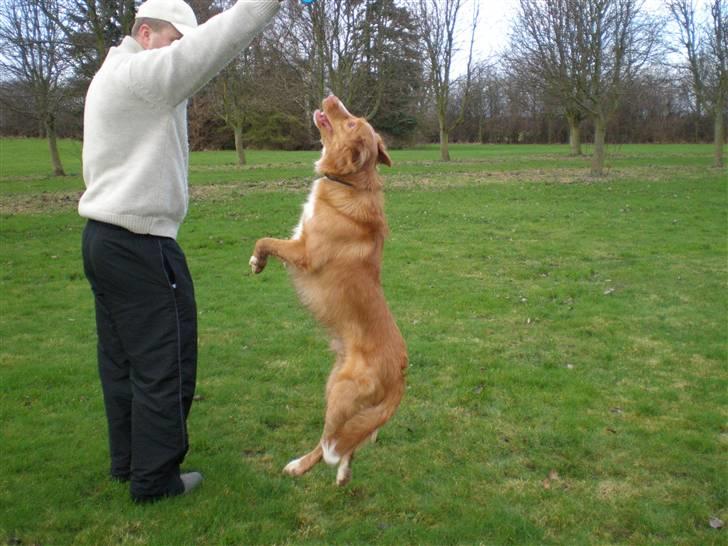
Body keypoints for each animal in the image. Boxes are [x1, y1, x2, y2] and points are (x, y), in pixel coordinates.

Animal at [249, 94, 410, 484]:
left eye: (350, 123)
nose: (332, 97)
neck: (350, 183)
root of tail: (401, 372)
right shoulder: (298, 243)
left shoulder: (303, 251)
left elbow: (266, 240)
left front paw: (258, 261)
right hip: (339, 389)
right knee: (351, 443)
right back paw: (344, 474)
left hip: (338, 395)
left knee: (328, 445)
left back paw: (299, 465)